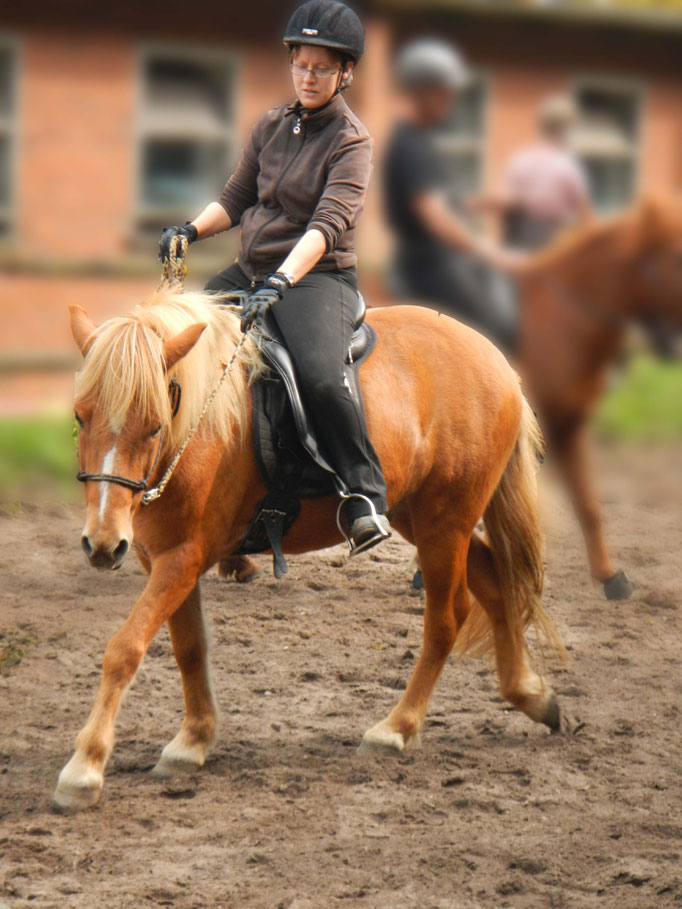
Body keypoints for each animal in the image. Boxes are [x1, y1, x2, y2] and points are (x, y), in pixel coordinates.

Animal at [54, 290, 556, 808]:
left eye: (154, 426)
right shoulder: (165, 557)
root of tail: (495, 360)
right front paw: (192, 741)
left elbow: (125, 649)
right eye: (79, 417)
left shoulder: (182, 557)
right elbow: (189, 647)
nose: (103, 544)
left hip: (446, 520)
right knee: (496, 582)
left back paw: (397, 728)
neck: (201, 425)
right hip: (421, 517)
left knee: (447, 617)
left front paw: (84, 768)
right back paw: (532, 694)